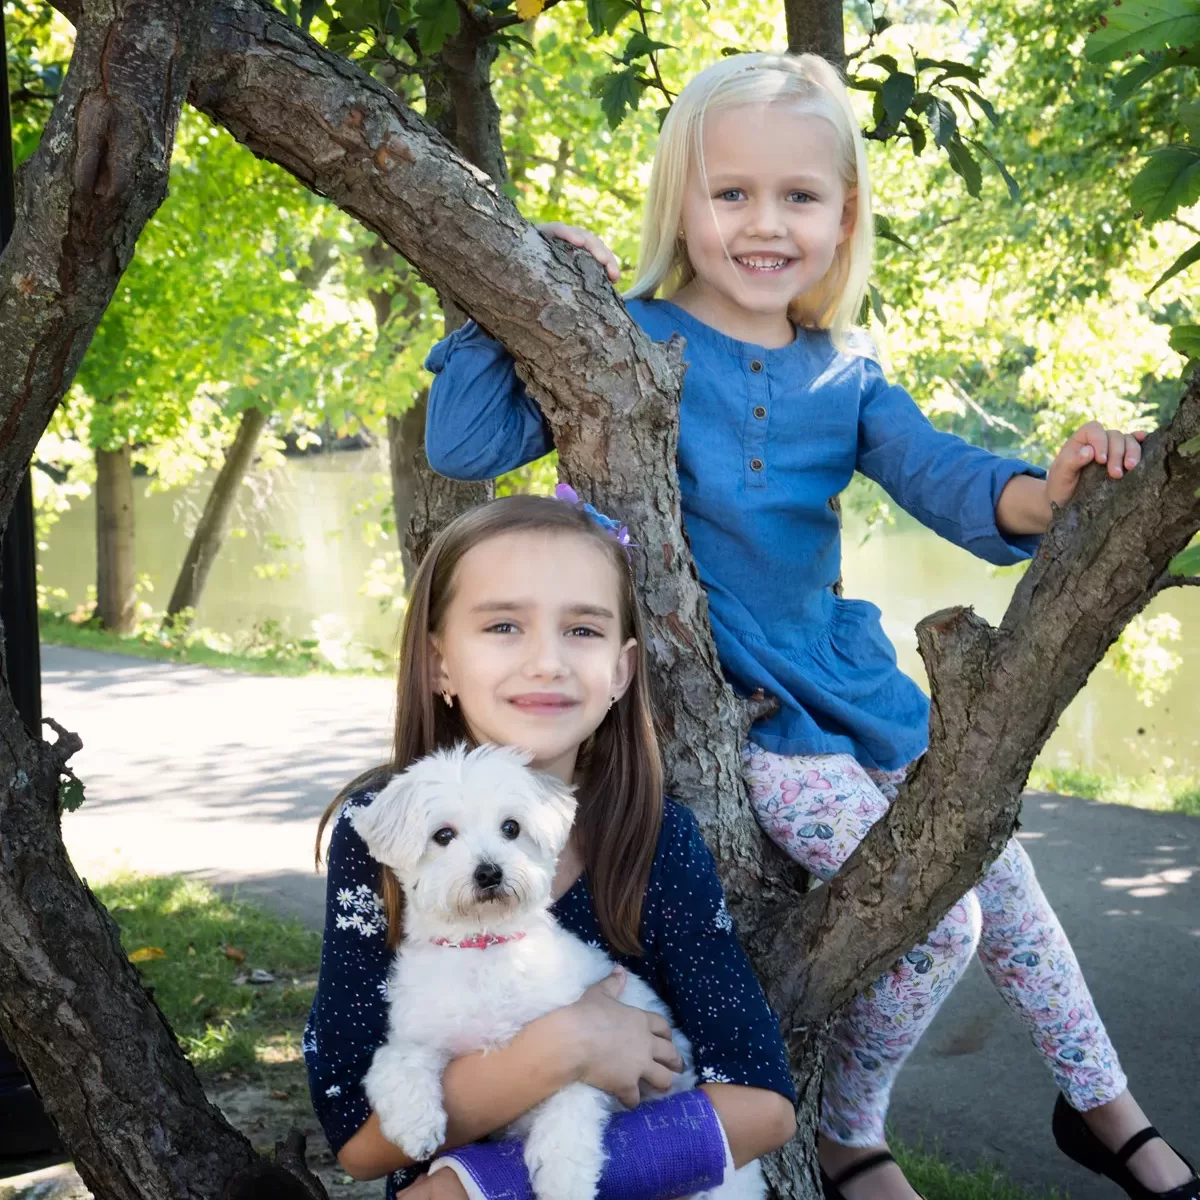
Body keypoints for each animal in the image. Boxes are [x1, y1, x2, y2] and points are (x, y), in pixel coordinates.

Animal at [348, 739, 763, 1200]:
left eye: (511, 828)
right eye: (443, 835)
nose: (489, 872)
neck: (485, 949)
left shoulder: (580, 1051)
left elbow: (566, 1124)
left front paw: (564, 1181)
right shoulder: (420, 1032)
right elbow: (394, 1062)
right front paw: (416, 1124)